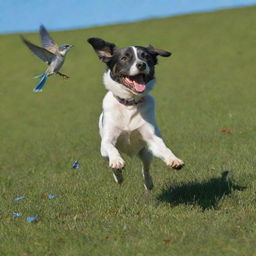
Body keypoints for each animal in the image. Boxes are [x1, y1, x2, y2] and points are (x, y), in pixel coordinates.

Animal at [88, 38, 184, 190]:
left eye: (146, 57)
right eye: (124, 58)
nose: (141, 64)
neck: (130, 103)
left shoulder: (152, 138)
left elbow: (164, 148)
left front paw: (174, 160)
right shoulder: (107, 140)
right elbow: (111, 148)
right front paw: (117, 162)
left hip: (145, 153)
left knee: (145, 168)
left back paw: (148, 184)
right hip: (104, 153)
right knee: (112, 164)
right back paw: (118, 175)